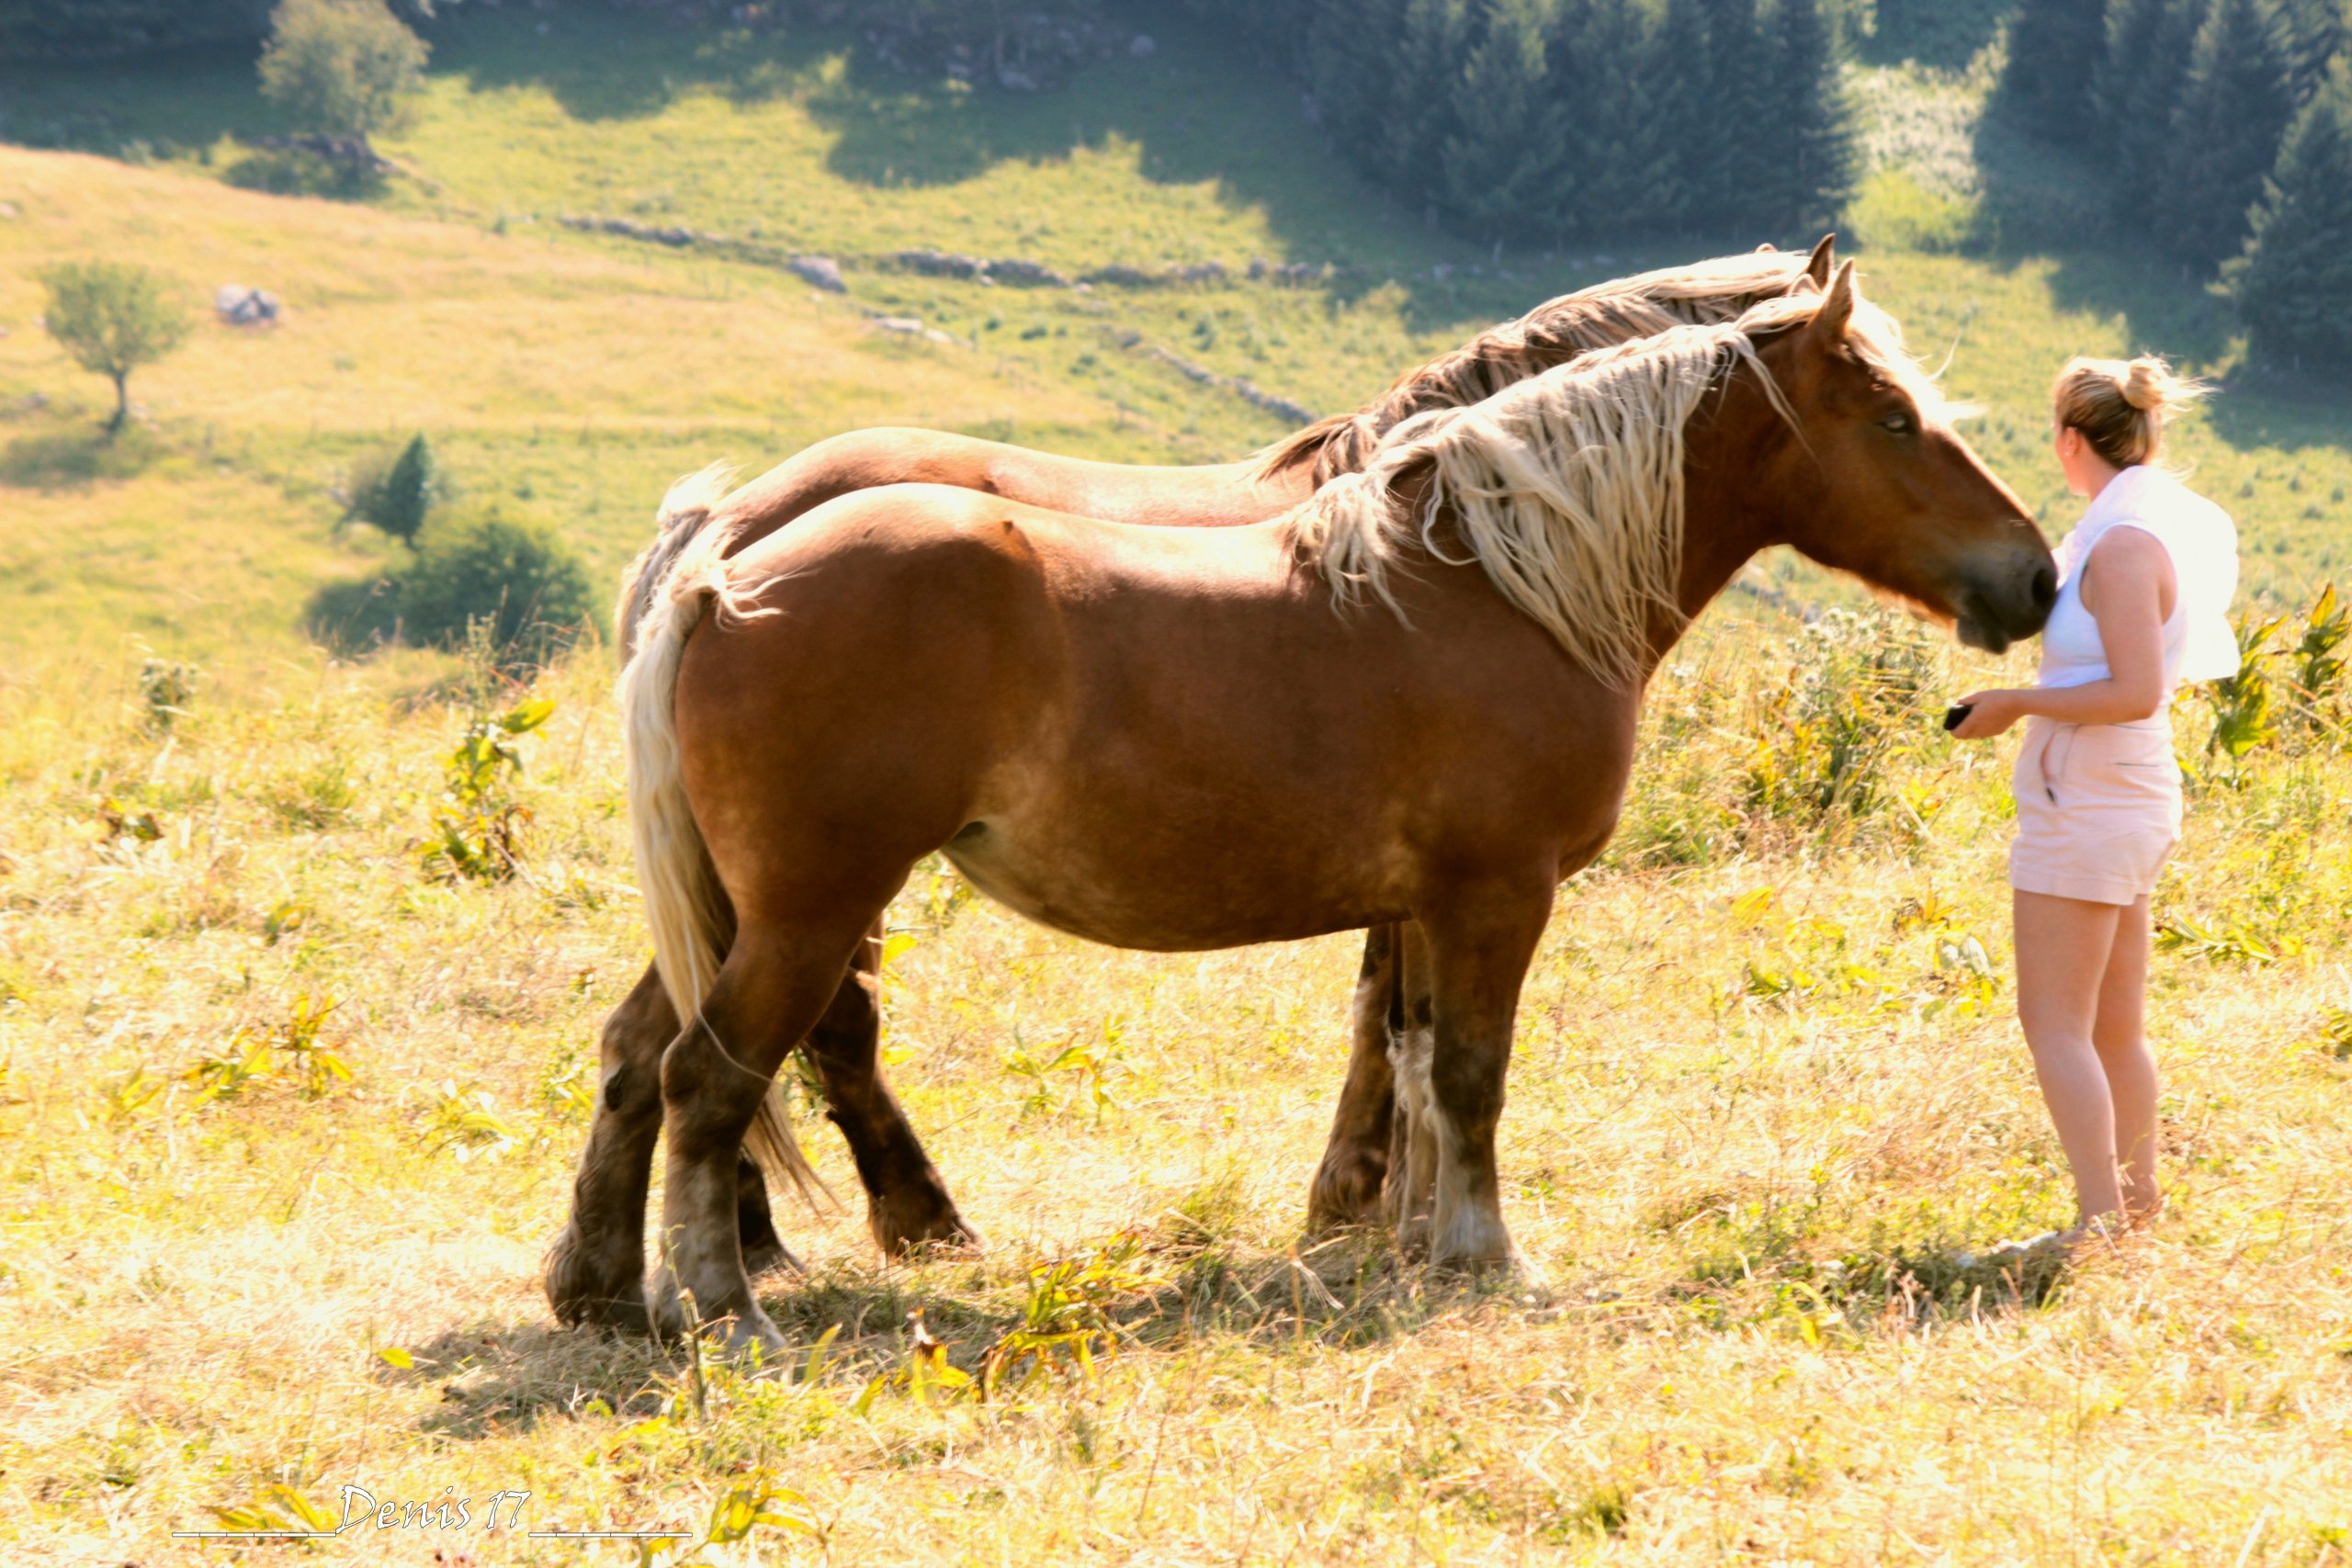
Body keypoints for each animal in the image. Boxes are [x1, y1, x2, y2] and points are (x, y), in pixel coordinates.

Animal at [611, 263, 2060, 1354]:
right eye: (1891, 417)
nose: (2035, 575)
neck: (1497, 581)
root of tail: (721, 572)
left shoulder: (1418, 905)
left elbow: (1407, 1061)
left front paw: (1403, 1238)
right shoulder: (1494, 892)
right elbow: (1470, 1072)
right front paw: (1484, 1255)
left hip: (749, 908)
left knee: (656, 1058)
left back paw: (614, 1283)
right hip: (813, 910)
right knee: (715, 1074)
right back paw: (728, 1306)